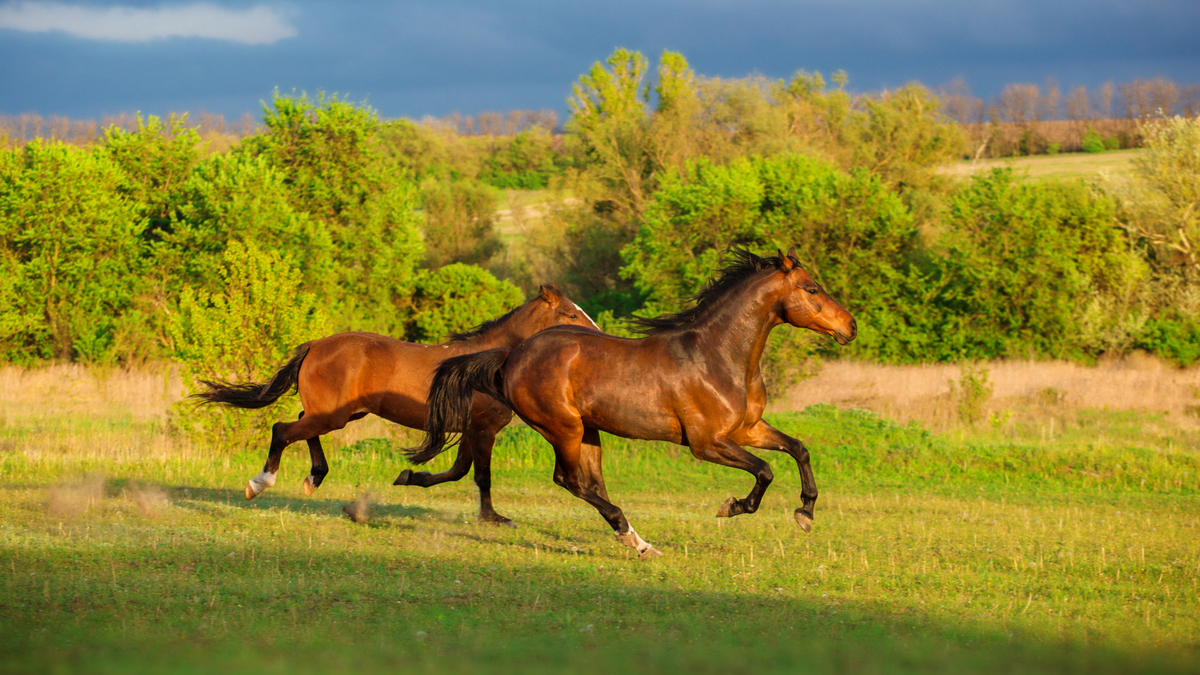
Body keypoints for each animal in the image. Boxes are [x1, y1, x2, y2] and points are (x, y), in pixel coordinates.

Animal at [194, 284, 600, 525]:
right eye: (571, 314)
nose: (597, 338)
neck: (487, 362)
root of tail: (315, 345)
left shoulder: (470, 430)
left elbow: (457, 472)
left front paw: (409, 477)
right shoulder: (484, 429)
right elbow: (480, 476)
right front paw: (493, 518)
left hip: (338, 414)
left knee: (301, 425)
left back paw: (314, 478)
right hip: (334, 415)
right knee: (283, 429)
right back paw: (260, 483)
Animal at [406, 249, 856, 557]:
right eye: (812, 288)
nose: (850, 327)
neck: (718, 356)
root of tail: (512, 354)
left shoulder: (747, 429)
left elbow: (798, 449)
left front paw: (805, 514)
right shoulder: (707, 443)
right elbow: (764, 470)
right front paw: (732, 507)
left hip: (588, 431)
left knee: (589, 483)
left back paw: (638, 542)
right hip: (563, 428)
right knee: (570, 481)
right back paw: (633, 537)